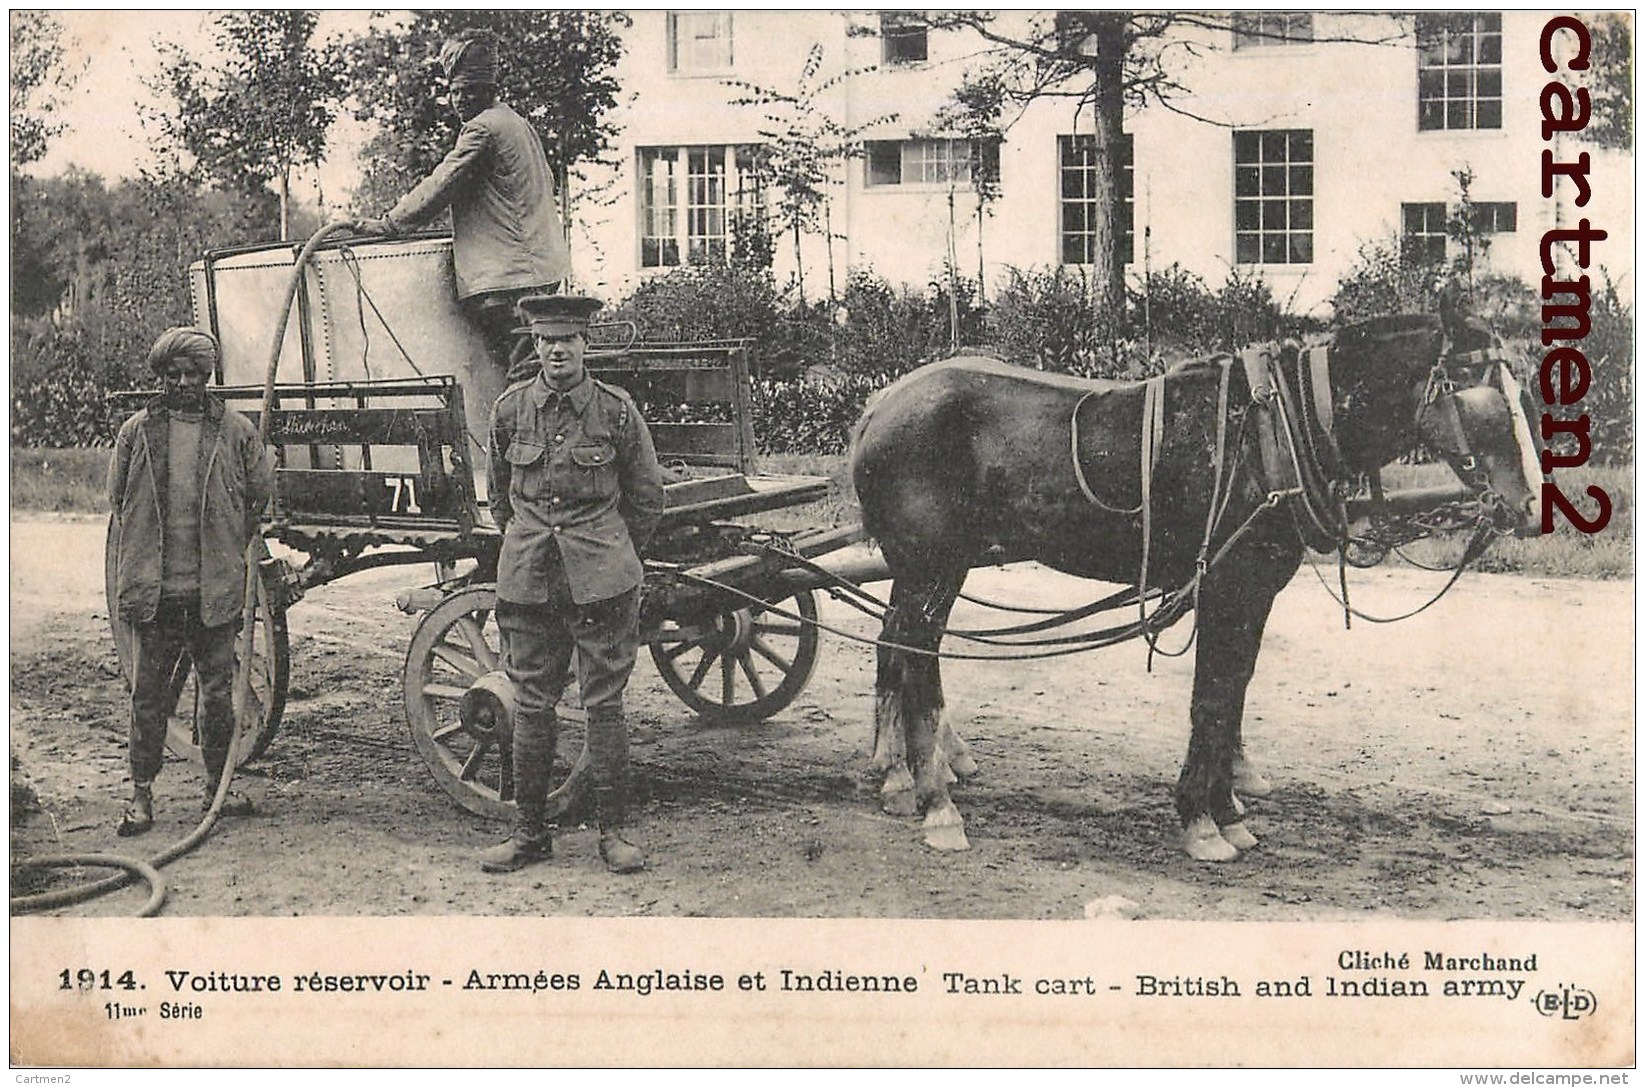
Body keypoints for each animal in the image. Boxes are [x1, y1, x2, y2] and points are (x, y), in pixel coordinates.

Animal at [848, 301, 1539, 862]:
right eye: (1483, 397)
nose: (1532, 506)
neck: (1273, 432)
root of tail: (880, 406)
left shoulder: (1257, 590)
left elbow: (1232, 693)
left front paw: (1228, 812)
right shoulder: (1227, 586)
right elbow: (1210, 698)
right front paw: (1201, 823)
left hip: (935, 570)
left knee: (900, 650)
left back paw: (908, 779)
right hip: (929, 565)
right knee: (913, 658)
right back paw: (936, 804)